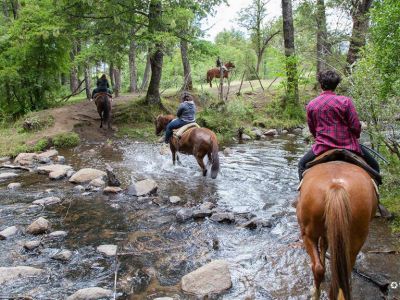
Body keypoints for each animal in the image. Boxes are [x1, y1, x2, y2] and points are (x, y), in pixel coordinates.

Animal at [296, 163, 378, 298]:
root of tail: (336, 186)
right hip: (356, 239)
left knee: (318, 268)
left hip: (307, 235)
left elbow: (323, 246)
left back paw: (315, 293)